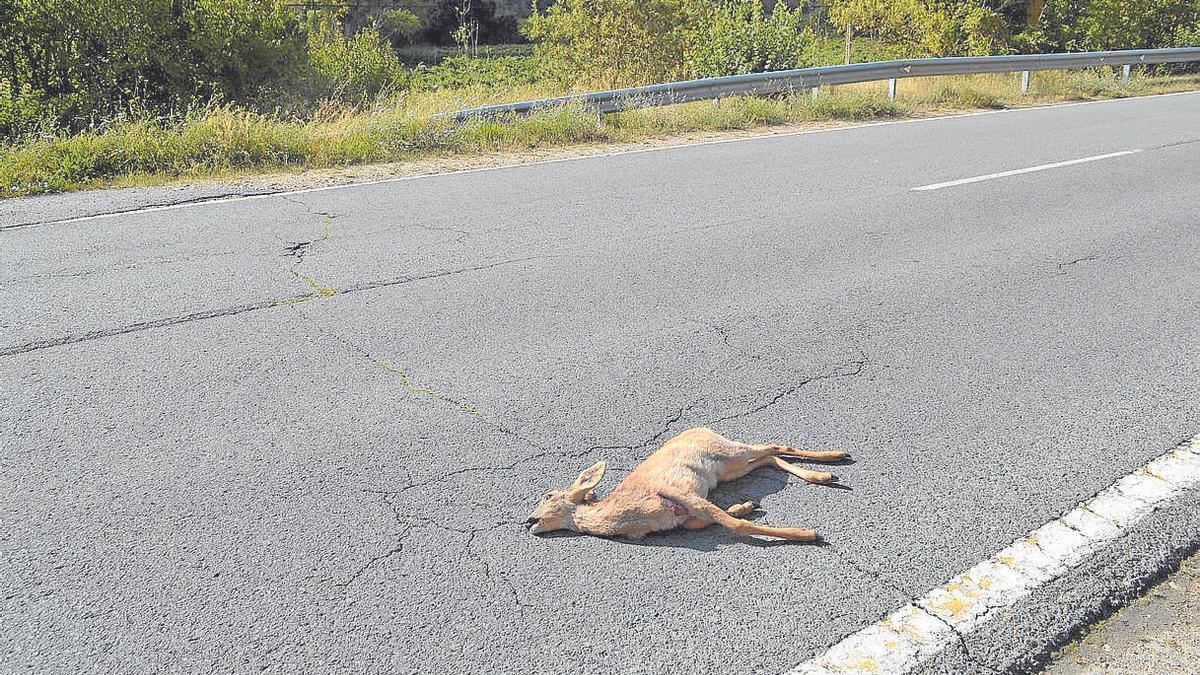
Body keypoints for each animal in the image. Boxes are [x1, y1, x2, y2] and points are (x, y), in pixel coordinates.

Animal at [525, 425, 844, 540]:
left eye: (548, 495)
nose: (528, 521)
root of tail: (701, 427)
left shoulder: (682, 496)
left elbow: (735, 526)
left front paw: (806, 533)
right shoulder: (686, 517)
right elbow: (714, 520)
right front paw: (745, 505)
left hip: (729, 452)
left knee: (775, 445)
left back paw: (836, 458)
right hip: (729, 469)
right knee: (769, 458)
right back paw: (823, 474)